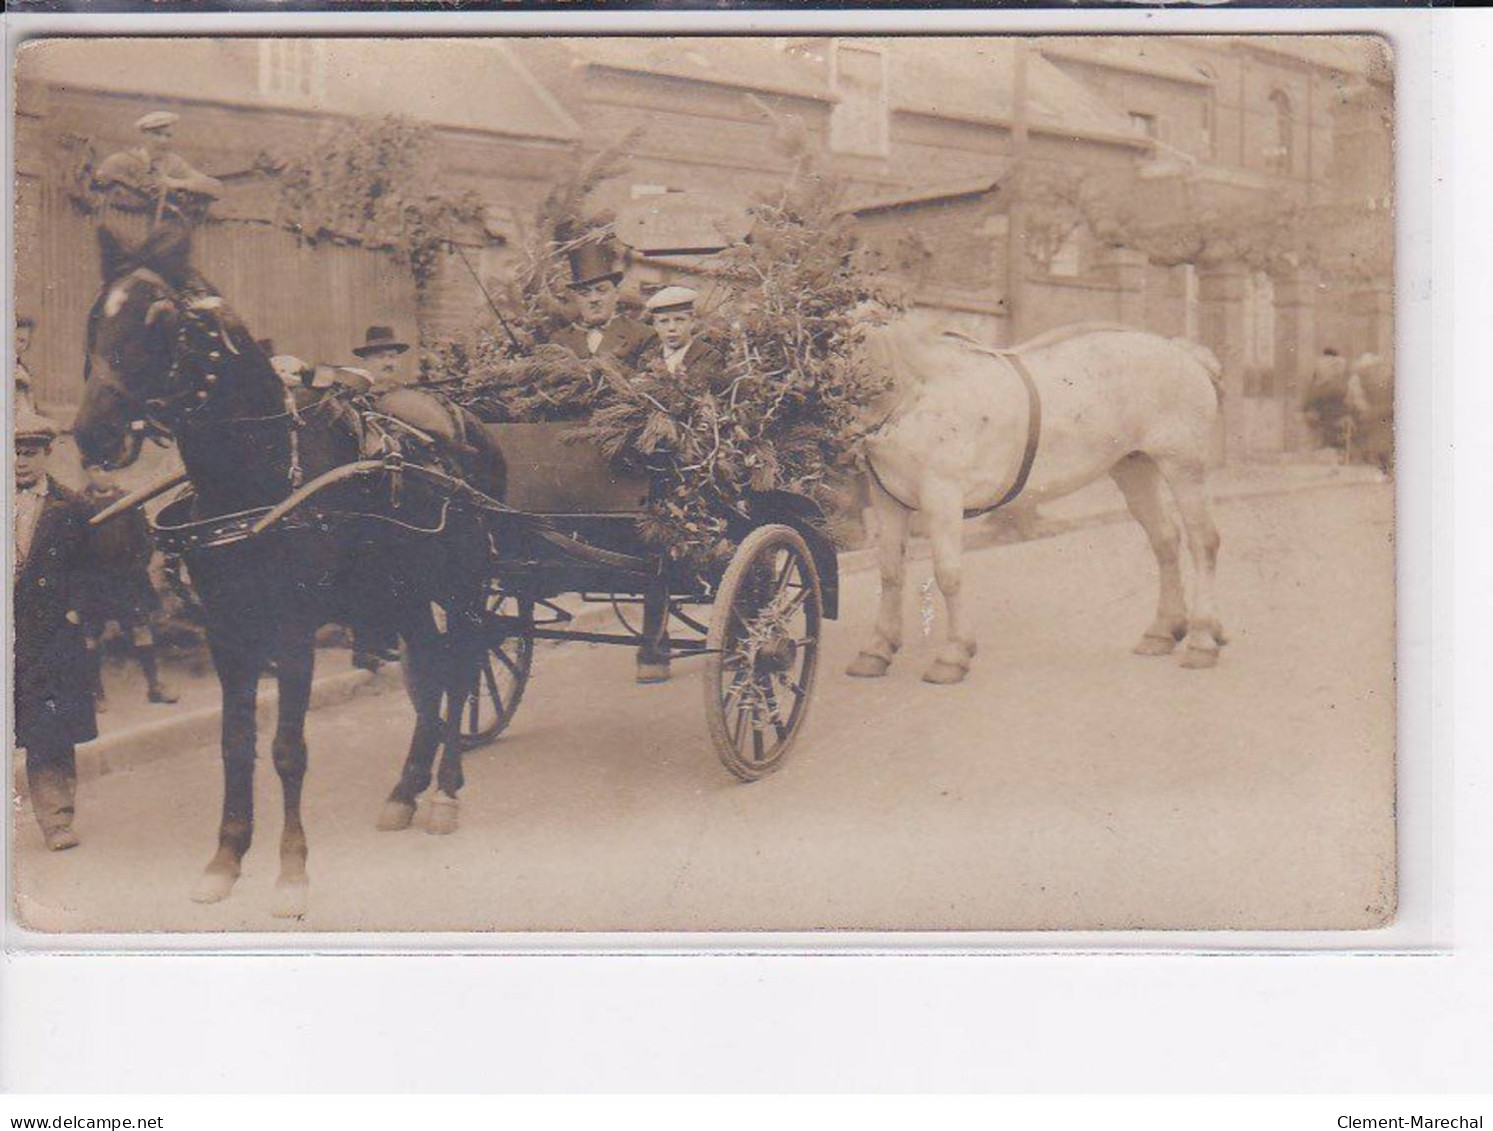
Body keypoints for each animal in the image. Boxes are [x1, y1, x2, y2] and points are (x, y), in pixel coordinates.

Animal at [72, 232, 501, 919]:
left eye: (159, 318)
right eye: (94, 317)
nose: (93, 432)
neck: (258, 476)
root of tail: (463, 422)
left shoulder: (295, 628)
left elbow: (287, 749)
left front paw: (291, 871)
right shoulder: (227, 630)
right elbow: (235, 744)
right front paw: (225, 859)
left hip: (462, 585)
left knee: (462, 670)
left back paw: (444, 793)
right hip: (401, 593)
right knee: (432, 669)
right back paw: (405, 789)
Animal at [853, 323, 1224, 686]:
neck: (918, 390)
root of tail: (1183, 352)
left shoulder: (941, 495)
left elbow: (948, 574)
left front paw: (953, 656)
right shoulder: (888, 501)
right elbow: (890, 573)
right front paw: (876, 651)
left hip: (1182, 467)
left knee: (1202, 542)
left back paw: (1202, 641)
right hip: (1134, 469)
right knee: (1165, 540)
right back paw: (1162, 632)